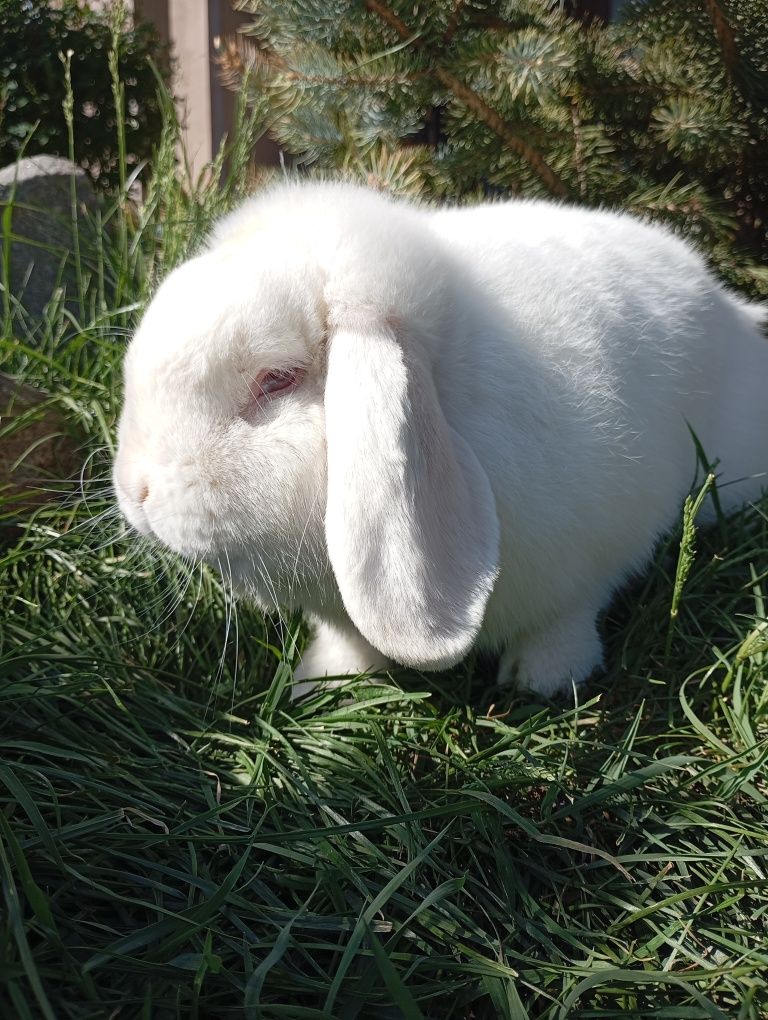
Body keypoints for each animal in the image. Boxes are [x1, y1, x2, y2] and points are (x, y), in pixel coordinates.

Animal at [113, 181, 766, 693]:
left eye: (277, 379)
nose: (136, 492)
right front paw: (322, 679)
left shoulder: (594, 552)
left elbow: (568, 616)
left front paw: (545, 679)